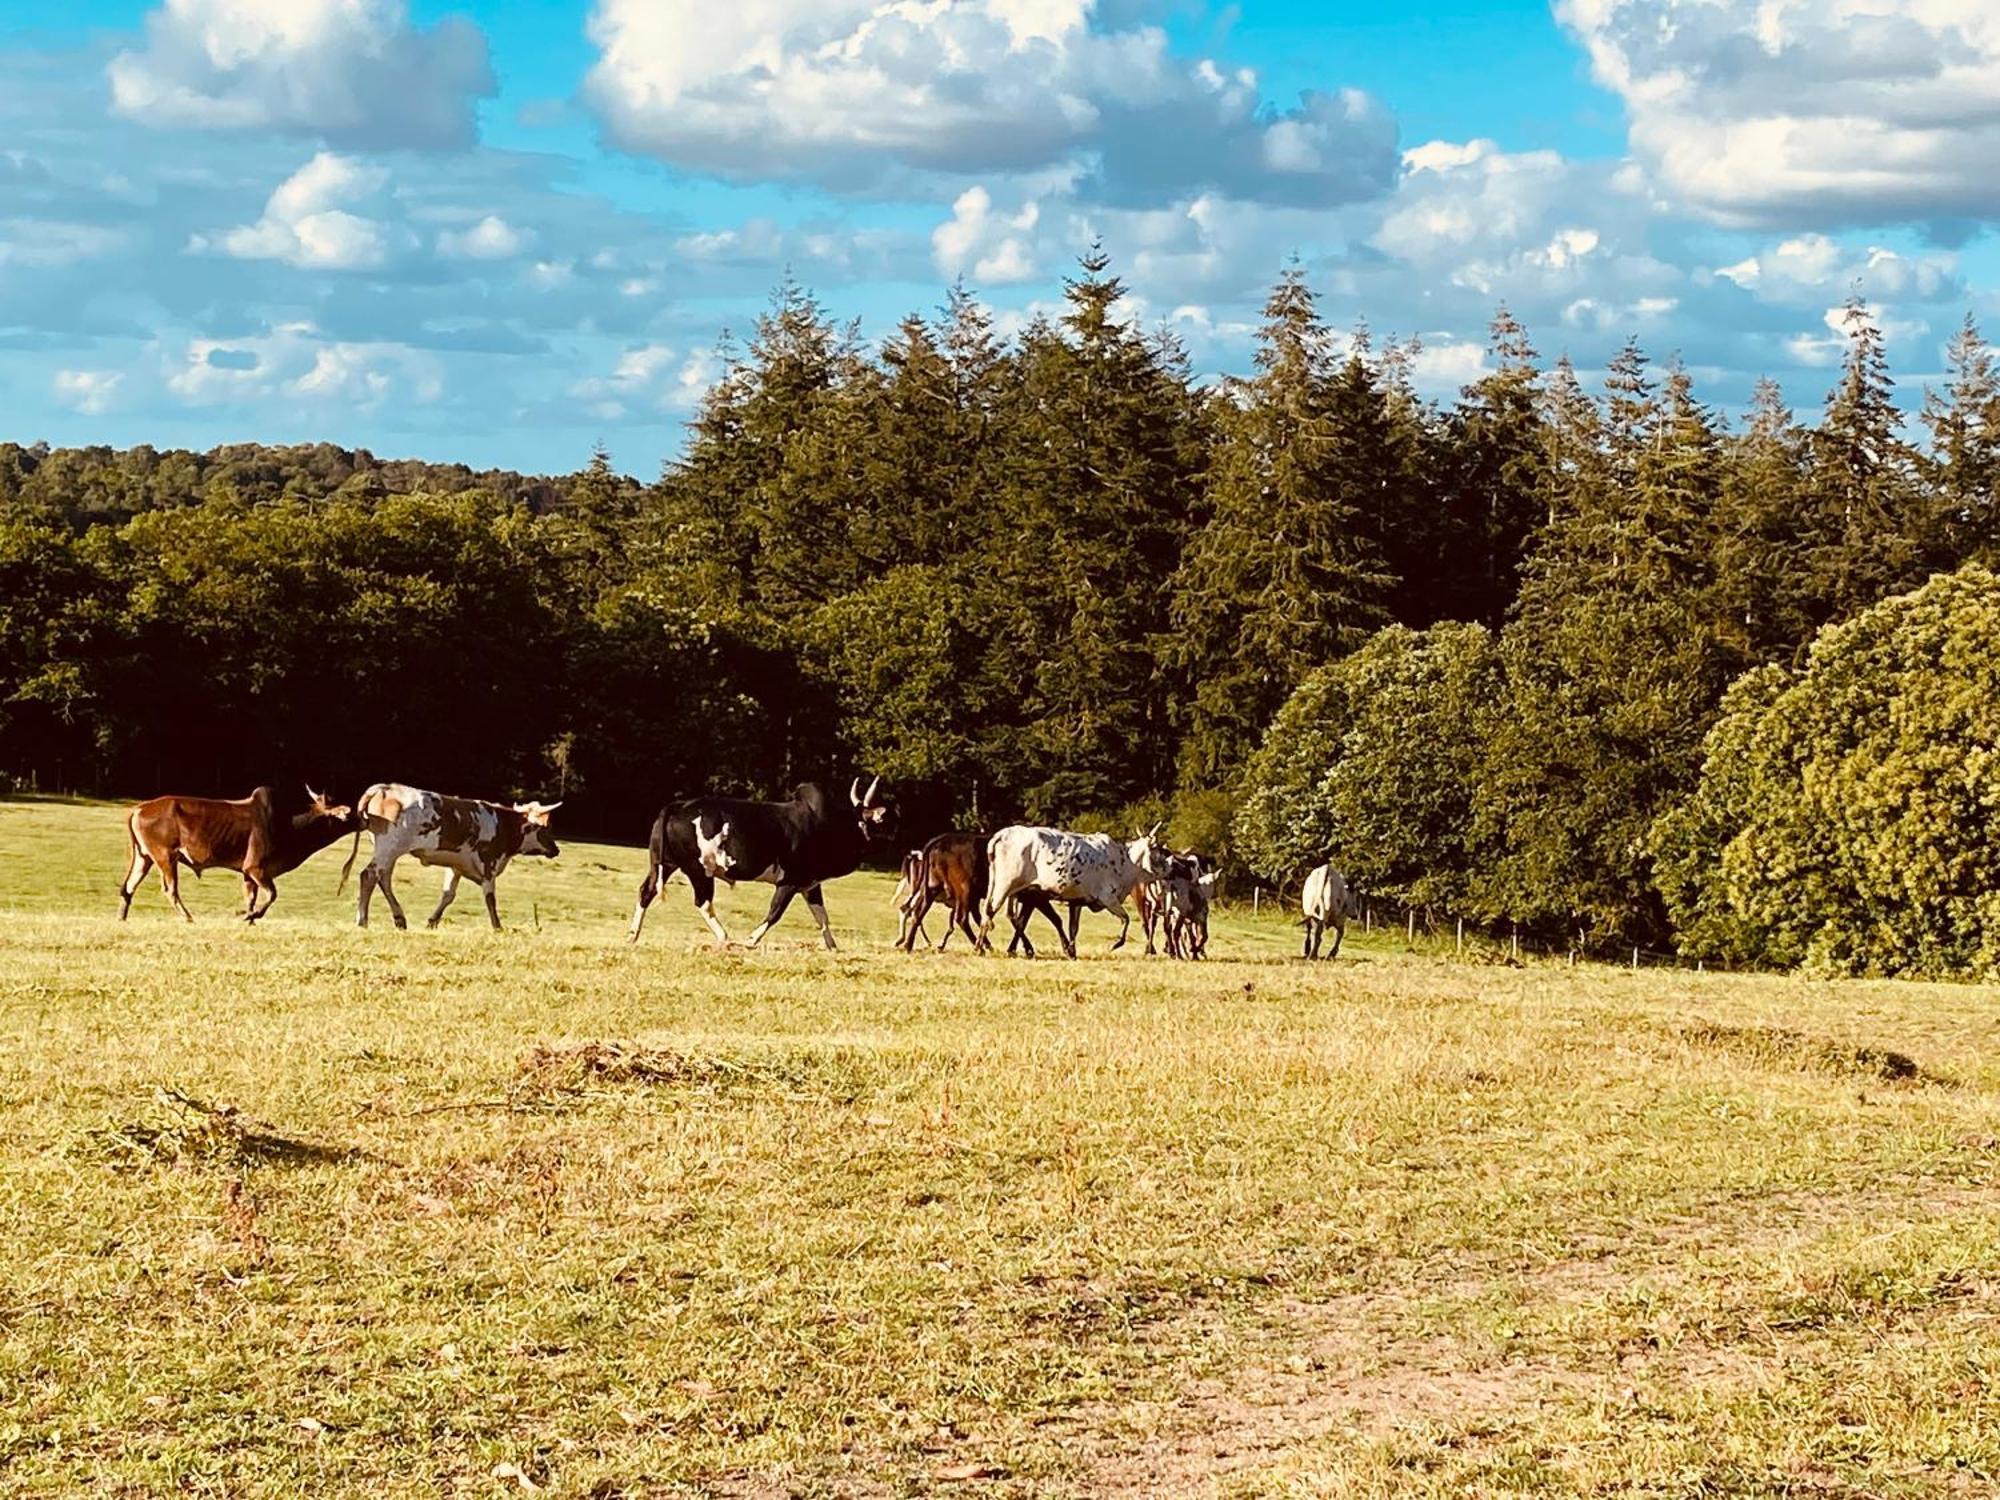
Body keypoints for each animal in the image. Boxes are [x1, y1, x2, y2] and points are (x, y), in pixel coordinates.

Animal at [119, 788, 358, 928]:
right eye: (343, 816)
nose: (357, 815)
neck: (287, 824)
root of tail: (138, 809)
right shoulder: (255, 868)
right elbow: (272, 895)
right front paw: (248, 916)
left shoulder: (247, 874)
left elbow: (251, 898)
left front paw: (249, 918)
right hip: (165, 856)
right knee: (170, 890)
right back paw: (188, 918)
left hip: (144, 857)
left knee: (128, 887)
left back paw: (122, 917)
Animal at [334, 788, 556, 928]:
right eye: (544, 828)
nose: (556, 849)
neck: (502, 824)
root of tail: (383, 788)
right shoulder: (489, 864)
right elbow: (490, 898)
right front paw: (497, 926)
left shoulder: (456, 866)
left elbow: (448, 894)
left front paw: (432, 921)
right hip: (388, 848)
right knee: (369, 875)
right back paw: (362, 920)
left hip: (389, 852)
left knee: (383, 878)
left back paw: (399, 918)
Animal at [632, 776, 900, 952]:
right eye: (883, 820)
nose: (898, 835)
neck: (828, 826)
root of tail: (677, 806)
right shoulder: (789, 881)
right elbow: (775, 912)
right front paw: (751, 939)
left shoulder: (811, 885)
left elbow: (822, 916)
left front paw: (832, 946)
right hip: (700, 870)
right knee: (702, 902)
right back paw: (724, 936)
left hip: (664, 864)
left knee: (646, 891)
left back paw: (633, 935)